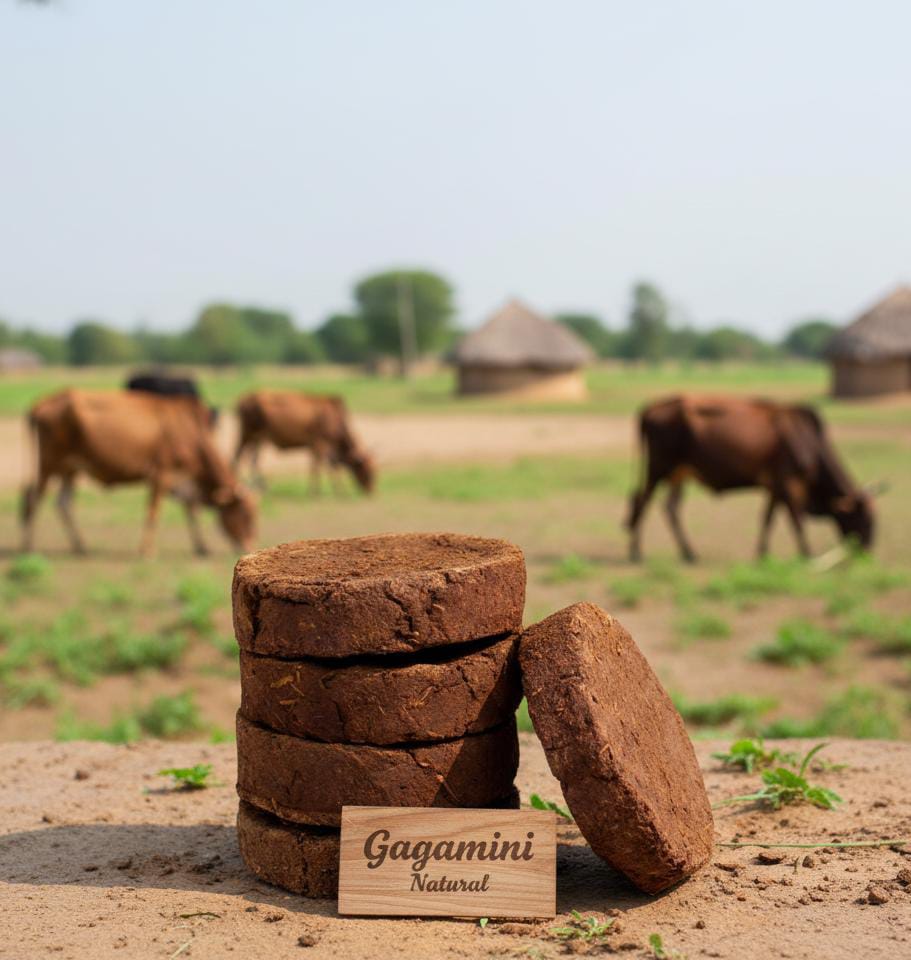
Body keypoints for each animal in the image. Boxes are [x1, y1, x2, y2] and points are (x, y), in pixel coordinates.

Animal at [21, 390, 256, 557]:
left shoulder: (184, 480)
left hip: (70, 470)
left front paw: (201, 547)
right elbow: (154, 513)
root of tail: (41, 403)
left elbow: (190, 511)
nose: (249, 546)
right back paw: (29, 547)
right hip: (48, 465)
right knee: (33, 500)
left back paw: (80, 546)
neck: (189, 432)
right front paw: (147, 551)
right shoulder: (161, 475)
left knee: (63, 504)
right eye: (245, 514)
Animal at [234, 391, 376, 495]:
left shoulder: (317, 446)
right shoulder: (320, 443)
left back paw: (259, 486)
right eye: (366, 470)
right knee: (238, 456)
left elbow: (326, 466)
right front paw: (316, 492)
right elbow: (319, 466)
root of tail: (242, 400)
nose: (370, 491)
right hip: (247, 434)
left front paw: (338, 491)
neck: (335, 419)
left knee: (252, 460)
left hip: (258, 438)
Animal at [626, 395, 875, 563]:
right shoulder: (789, 483)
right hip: (658, 469)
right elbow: (796, 519)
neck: (808, 441)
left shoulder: (774, 486)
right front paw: (808, 553)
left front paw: (762, 553)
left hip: (680, 473)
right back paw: (636, 552)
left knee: (670, 508)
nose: (867, 550)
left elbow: (768, 518)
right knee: (643, 502)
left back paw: (689, 552)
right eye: (863, 519)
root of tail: (651, 408)